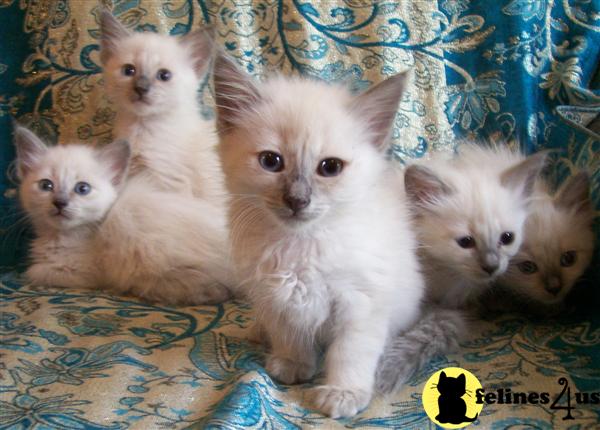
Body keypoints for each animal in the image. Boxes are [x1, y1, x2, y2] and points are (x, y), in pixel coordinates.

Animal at [213, 53, 424, 416]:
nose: (297, 200)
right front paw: (293, 365)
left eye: (330, 167)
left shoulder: (360, 303)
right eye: (271, 161)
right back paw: (258, 331)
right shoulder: (277, 297)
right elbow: (290, 337)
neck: (301, 246)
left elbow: (349, 354)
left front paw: (342, 394)